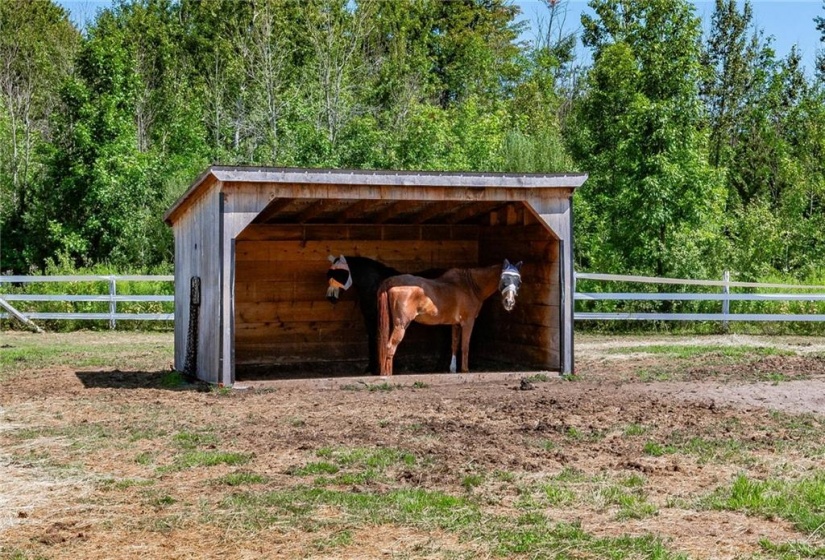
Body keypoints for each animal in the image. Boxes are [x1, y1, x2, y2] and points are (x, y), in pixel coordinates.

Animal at [374, 260, 520, 376]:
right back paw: (387, 375)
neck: (470, 286)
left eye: (518, 282)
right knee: (390, 347)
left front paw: (453, 369)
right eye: (504, 280)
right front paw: (465, 370)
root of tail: (391, 281)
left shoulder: (456, 324)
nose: (509, 302)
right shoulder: (468, 322)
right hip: (401, 325)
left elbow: (454, 344)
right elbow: (465, 345)